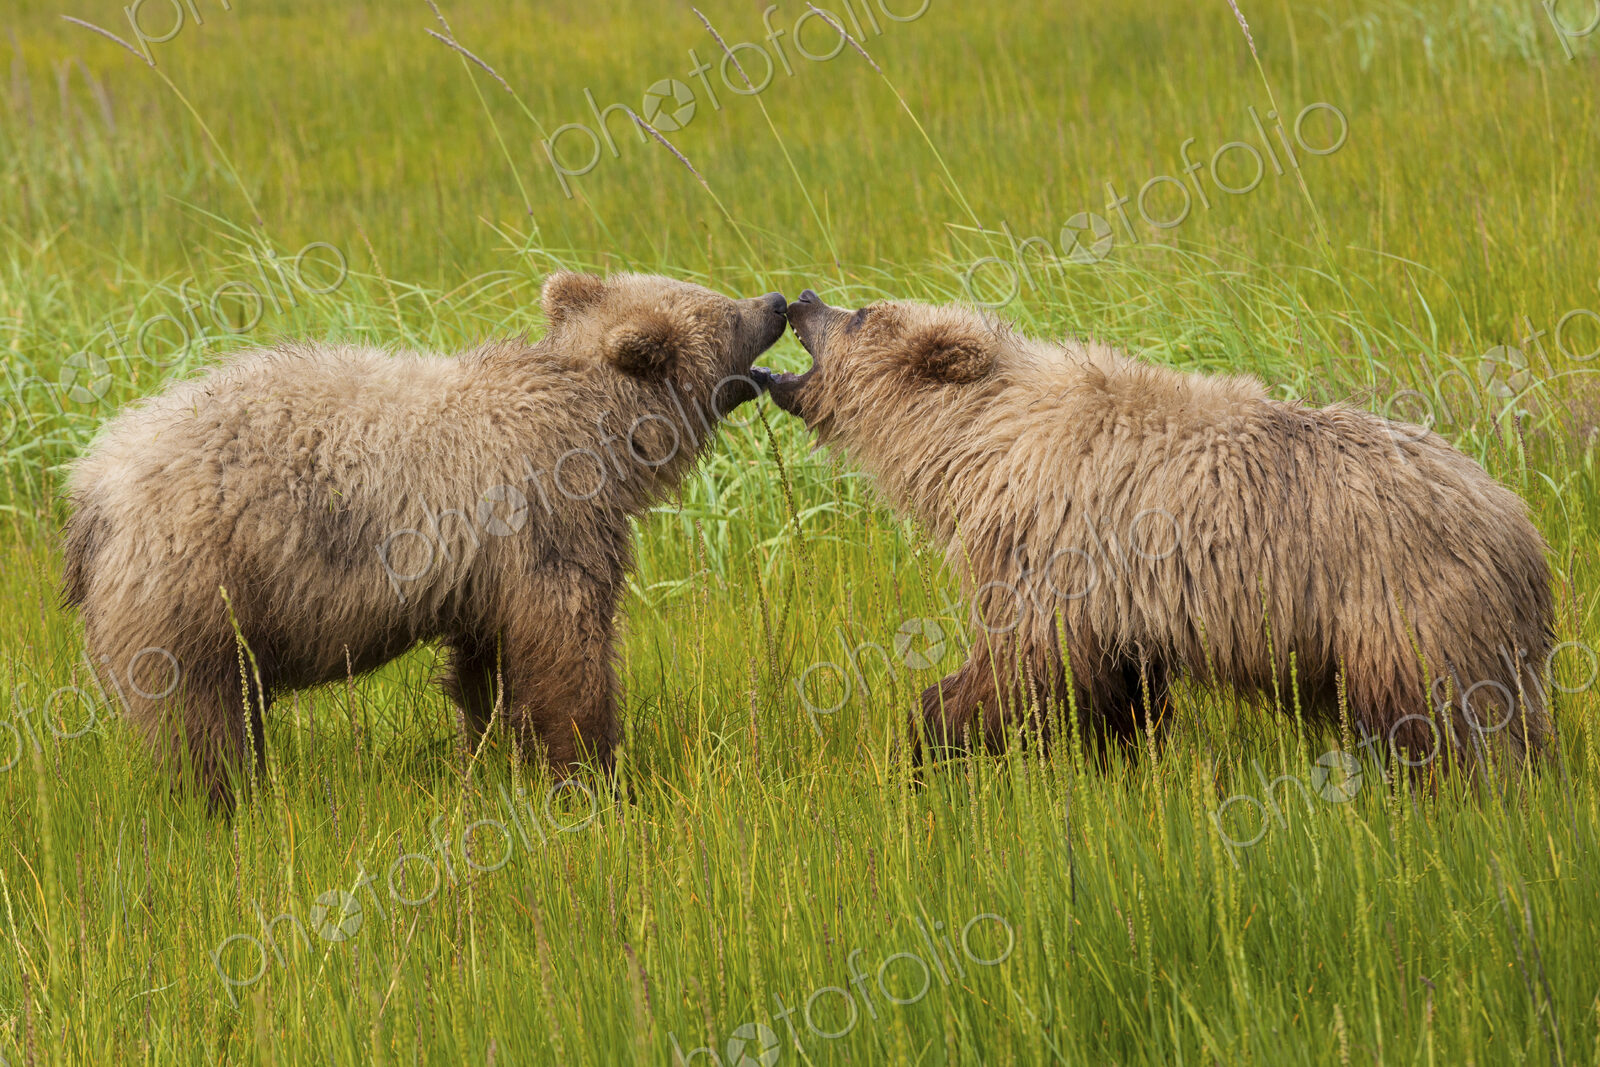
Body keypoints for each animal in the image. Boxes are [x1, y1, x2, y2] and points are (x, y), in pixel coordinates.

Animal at [63, 271, 788, 809]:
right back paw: (228, 801)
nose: (778, 301)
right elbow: (565, 651)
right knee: (200, 716)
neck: (598, 434)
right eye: (725, 314)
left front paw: (495, 751)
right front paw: (594, 774)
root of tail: (92, 488)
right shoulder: (547, 522)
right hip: (194, 586)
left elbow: (486, 665)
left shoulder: (485, 571)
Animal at [753, 289, 1555, 770]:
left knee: (1442, 718)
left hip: (1404, 603)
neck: (982, 447)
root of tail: (1520, 525)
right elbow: (1116, 684)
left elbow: (1025, 664)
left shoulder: (1054, 549)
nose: (803, 298)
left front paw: (932, 733)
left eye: (862, 314)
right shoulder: (1119, 597)